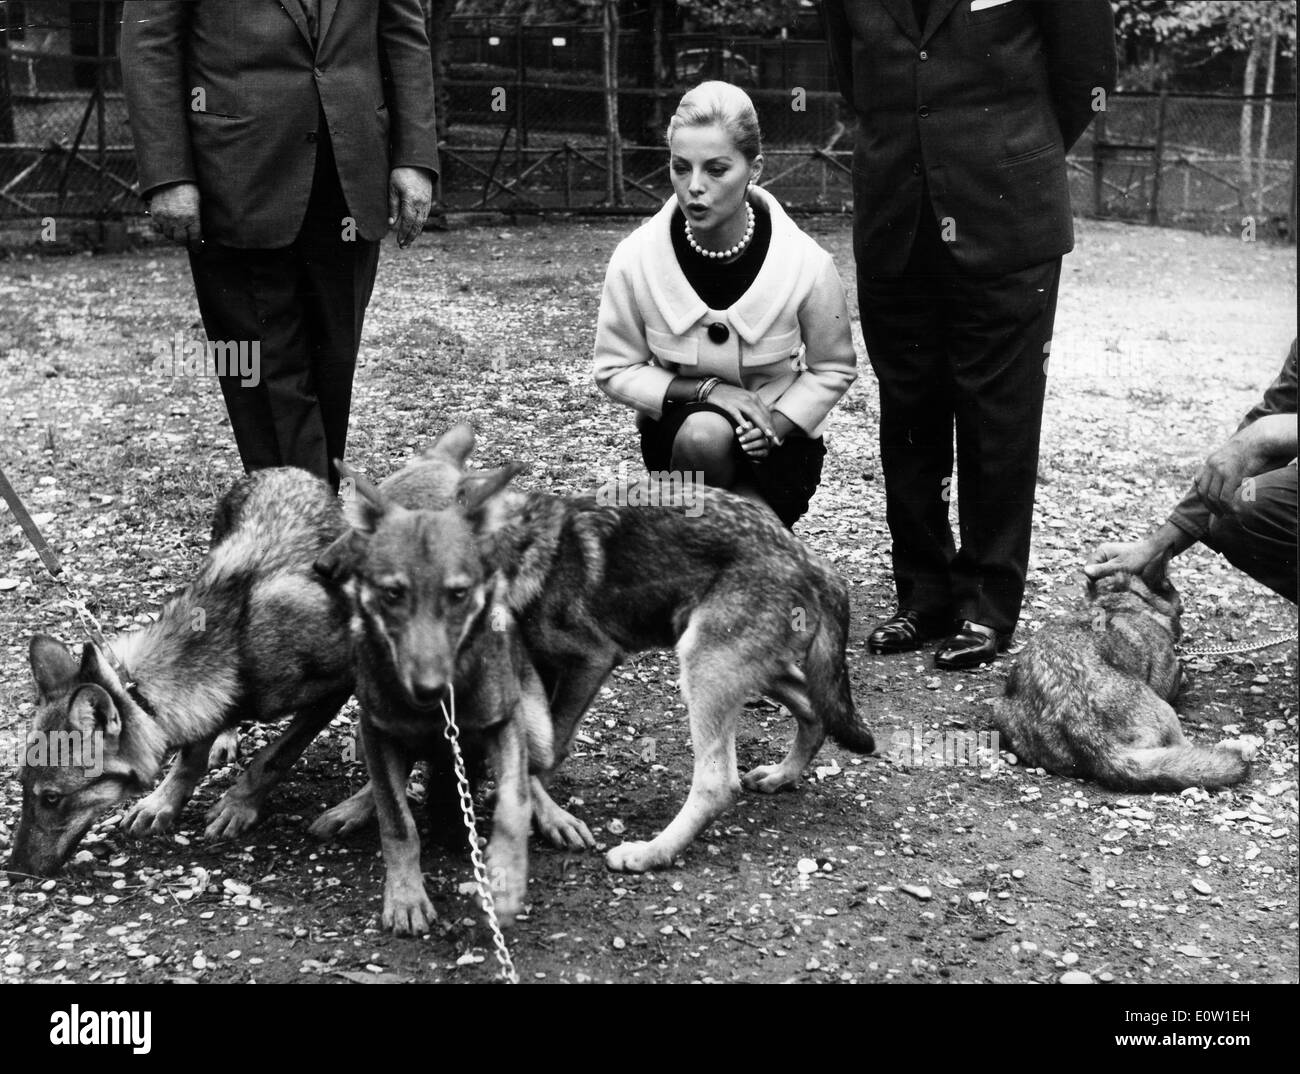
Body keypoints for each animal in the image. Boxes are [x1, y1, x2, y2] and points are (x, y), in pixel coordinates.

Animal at [7, 465, 356, 873]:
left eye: (51, 798)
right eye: (22, 787)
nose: (13, 870)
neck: (236, 651)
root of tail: (282, 469)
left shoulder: (340, 686)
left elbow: (272, 757)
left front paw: (237, 806)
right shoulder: (200, 704)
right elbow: (189, 757)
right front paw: (163, 802)